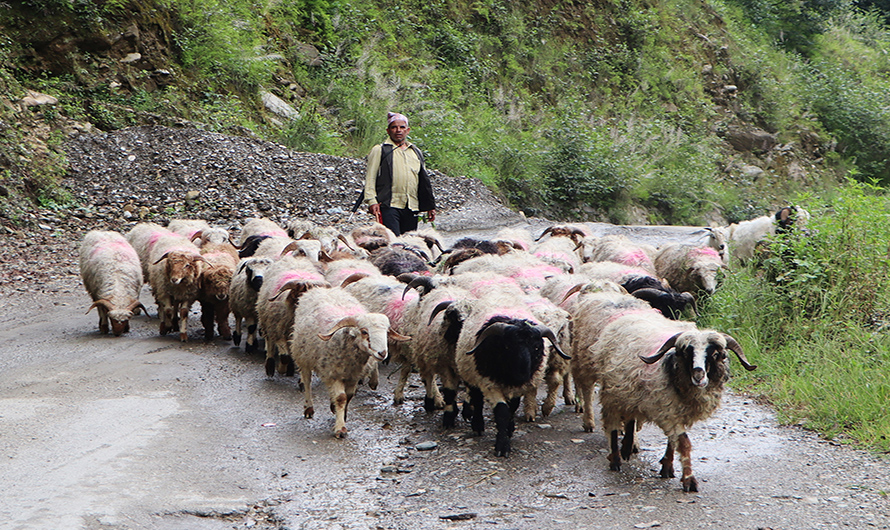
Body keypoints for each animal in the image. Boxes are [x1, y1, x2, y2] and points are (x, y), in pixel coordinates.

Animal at [288, 286, 410, 436]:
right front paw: (340, 428)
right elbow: (341, 397)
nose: (382, 353)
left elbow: (349, 396)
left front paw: (342, 415)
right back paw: (308, 407)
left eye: (386, 332)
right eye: (364, 332)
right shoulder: (334, 374)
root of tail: (321, 289)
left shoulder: (353, 376)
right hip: (303, 355)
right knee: (307, 382)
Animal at [588, 312, 756, 488]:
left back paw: (627, 448)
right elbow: (684, 443)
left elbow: (672, 441)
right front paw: (689, 480)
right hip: (611, 394)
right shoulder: (669, 412)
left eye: (715, 354)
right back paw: (615, 460)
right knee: (613, 426)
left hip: (629, 395)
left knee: (630, 419)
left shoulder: (674, 412)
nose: (698, 376)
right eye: (687, 354)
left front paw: (667, 468)